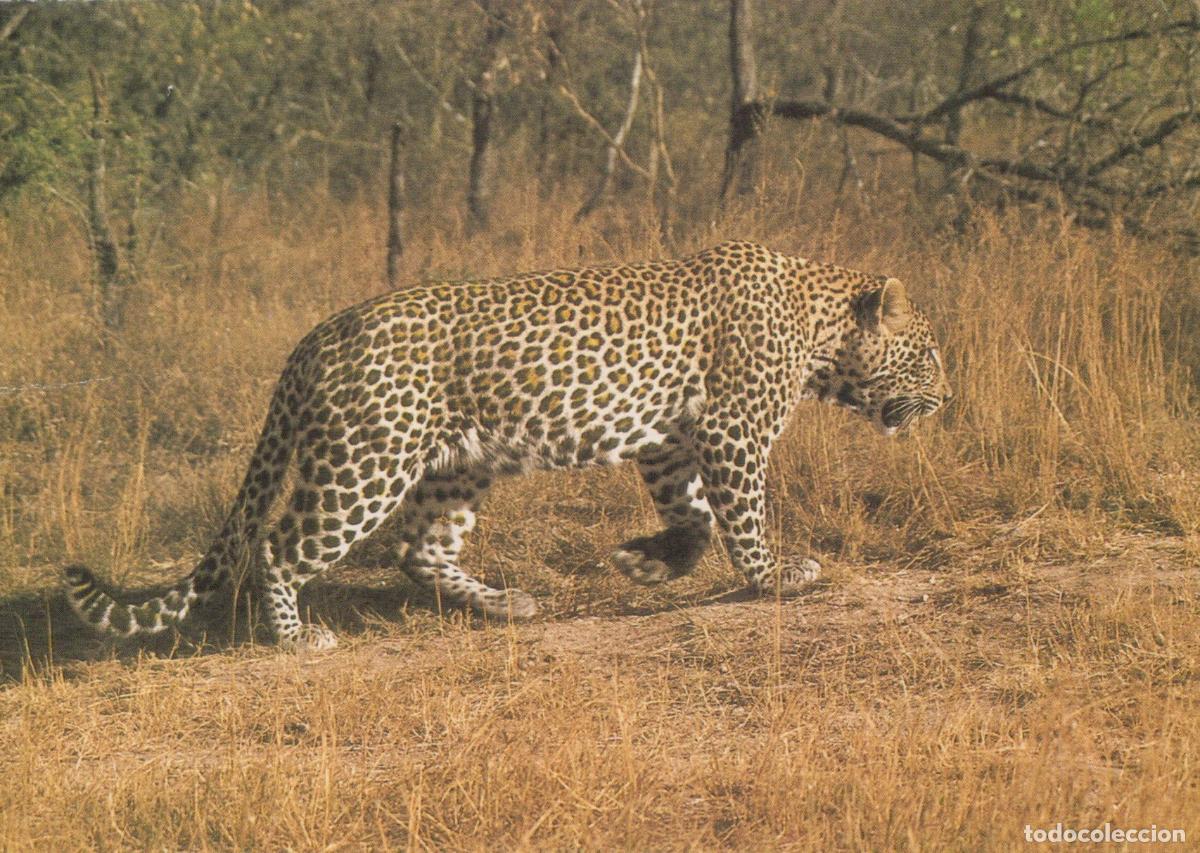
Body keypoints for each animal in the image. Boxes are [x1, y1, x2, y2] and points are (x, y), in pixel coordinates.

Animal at [65, 240, 952, 652]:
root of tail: (317, 335)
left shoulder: (669, 441)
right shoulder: (731, 430)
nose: (947, 399)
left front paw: (645, 562)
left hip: (458, 462)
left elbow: (696, 517)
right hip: (367, 459)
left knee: (419, 549)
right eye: (931, 352)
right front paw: (777, 578)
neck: (821, 330)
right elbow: (742, 522)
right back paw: (296, 637)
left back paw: (504, 604)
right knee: (282, 544)